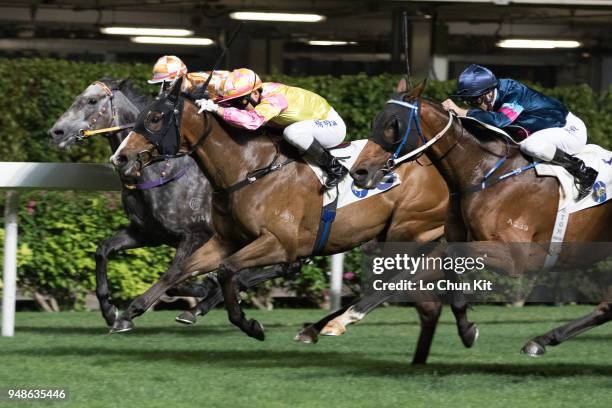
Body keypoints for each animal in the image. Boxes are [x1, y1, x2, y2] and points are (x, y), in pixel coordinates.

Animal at [47, 79, 298, 328]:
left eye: (91, 100)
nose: (56, 132)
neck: (163, 173)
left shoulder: (195, 235)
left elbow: (178, 275)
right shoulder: (147, 233)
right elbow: (102, 250)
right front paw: (109, 311)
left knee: (282, 266)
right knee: (285, 266)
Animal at [107, 76, 476, 364]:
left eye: (156, 117)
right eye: (142, 115)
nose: (120, 158)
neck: (249, 169)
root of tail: (440, 162)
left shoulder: (278, 243)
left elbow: (227, 271)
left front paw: (250, 325)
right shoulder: (225, 240)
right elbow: (179, 270)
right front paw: (128, 313)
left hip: (408, 228)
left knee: (397, 278)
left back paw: (336, 323)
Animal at [352, 78, 612, 356]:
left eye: (394, 124)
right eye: (374, 121)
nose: (359, 172)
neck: (485, 172)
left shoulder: (516, 258)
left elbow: (449, 255)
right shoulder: (458, 238)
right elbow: (440, 265)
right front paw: (466, 329)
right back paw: (541, 340)